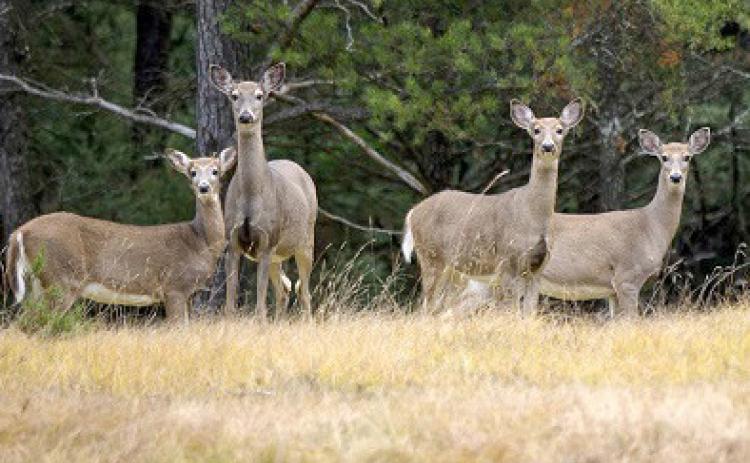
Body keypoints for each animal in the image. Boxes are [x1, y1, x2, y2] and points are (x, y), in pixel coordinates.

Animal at [3, 148, 236, 322]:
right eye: (193, 172)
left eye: (215, 171)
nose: (204, 188)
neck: (200, 242)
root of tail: (20, 231)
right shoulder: (174, 286)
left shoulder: (186, 293)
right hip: (61, 278)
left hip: (36, 281)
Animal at [209, 63, 317, 320]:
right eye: (234, 95)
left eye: (260, 95)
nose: (246, 116)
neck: (251, 196)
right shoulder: (232, 241)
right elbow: (230, 305)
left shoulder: (267, 240)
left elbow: (259, 306)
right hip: (278, 256)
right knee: (284, 291)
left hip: (306, 240)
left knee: (304, 293)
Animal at [401, 98, 584, 314]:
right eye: (536, 130)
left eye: (560, 130)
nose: (548, 147)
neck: (533, 214)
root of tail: (413, 212)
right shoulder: (507, 259)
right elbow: (510, 309)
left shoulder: (538, 267)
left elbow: (529, 311)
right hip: (431, 256)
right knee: (425, 307)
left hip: (451, 269)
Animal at [525, 127, 711, 316]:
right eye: (664, 157)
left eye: (687, 157)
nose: (675, 177)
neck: (650, 226)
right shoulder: (627, 276)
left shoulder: (612, 290)